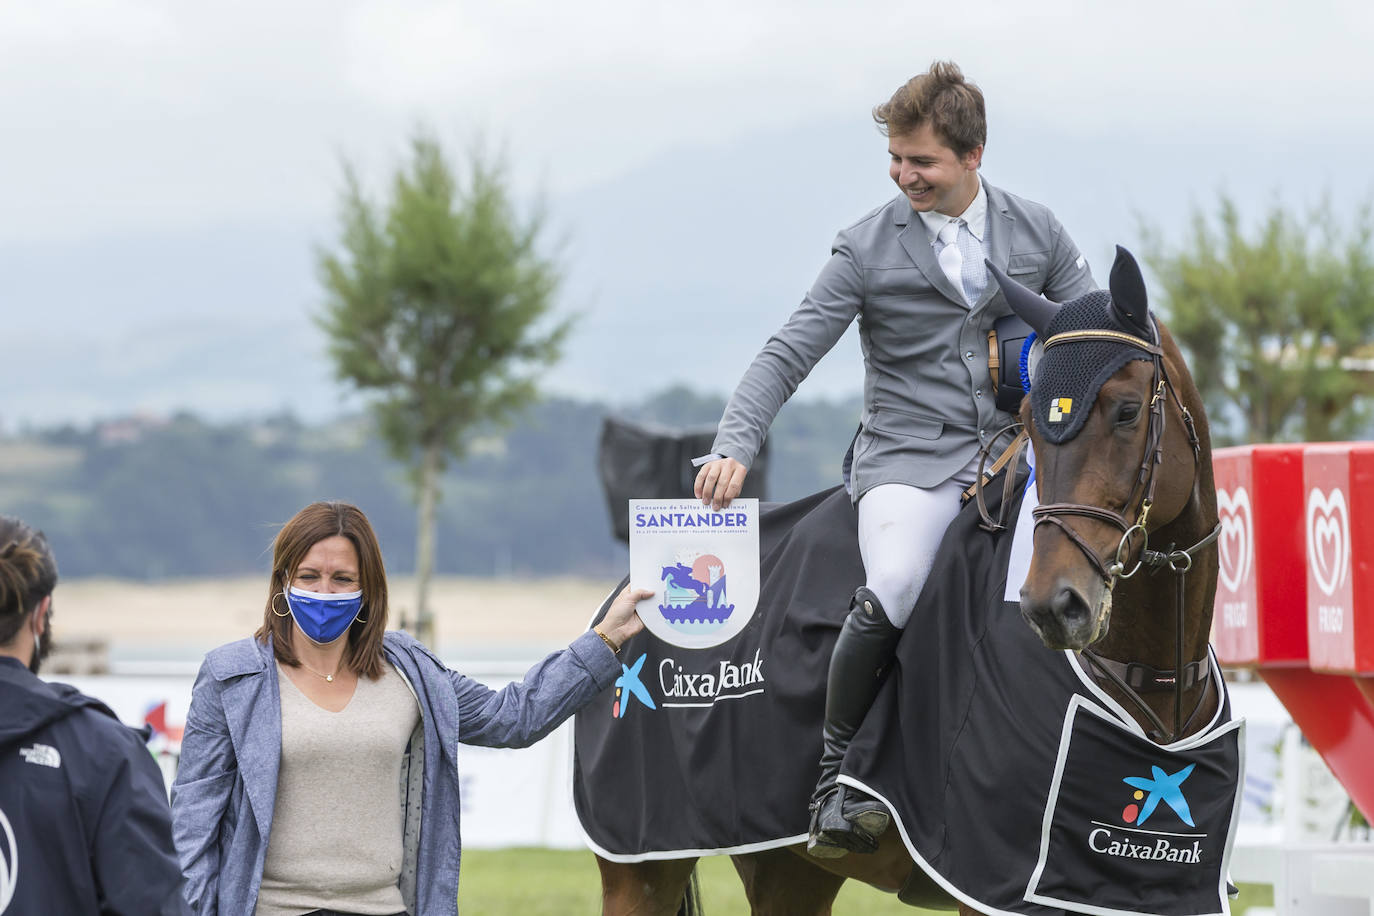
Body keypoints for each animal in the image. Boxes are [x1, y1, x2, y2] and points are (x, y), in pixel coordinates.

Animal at [590, 247, 1225, 911]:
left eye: (1127, 411)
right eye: (1029, 417)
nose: (1053, 606)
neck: (1152, 675)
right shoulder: (995, 883)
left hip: (786, 870)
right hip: (642, 869)